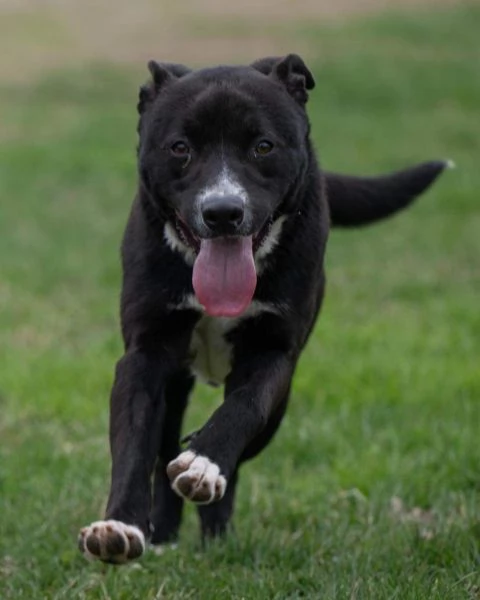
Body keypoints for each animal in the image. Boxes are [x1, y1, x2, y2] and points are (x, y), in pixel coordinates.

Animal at [77, 52, 448, 564]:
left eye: (263, 146)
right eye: (179, 148)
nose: (222, 212)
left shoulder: (274, 353)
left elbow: (244, 407)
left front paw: (204, 462)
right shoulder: (146, 352)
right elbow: (133, 443)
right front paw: (121, 525)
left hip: (277, 408)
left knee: (232, 451)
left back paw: (214, 527)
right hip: (176, 384)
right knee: (164, 446)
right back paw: (166, 532)